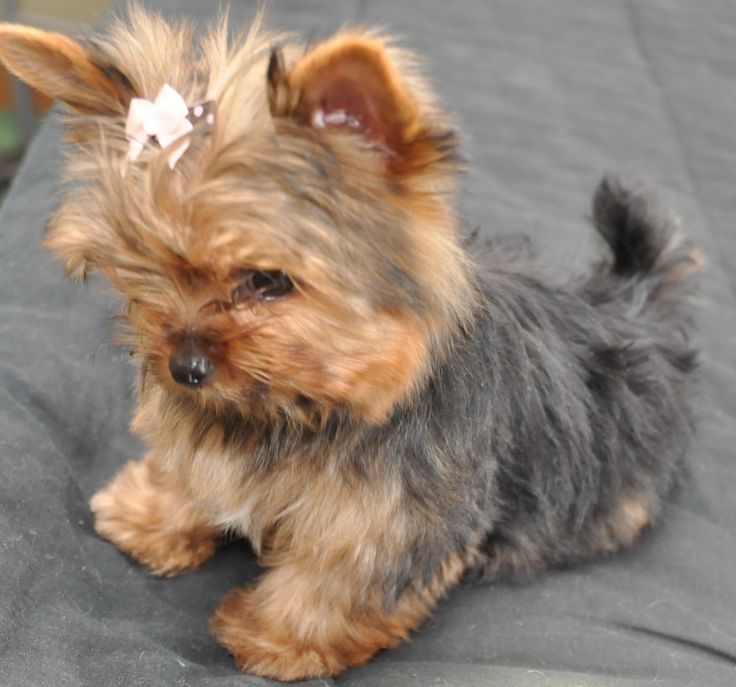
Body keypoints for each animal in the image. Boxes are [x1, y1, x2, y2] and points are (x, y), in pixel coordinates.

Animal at [1, 5, 700, 684]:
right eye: (143, 269)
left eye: (267, 280)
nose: (185, 367)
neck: (305, 406)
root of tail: (632, 300)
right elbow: (192, 468)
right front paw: (150, 514)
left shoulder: (397, 515)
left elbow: (342, 575)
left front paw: (278, 638)